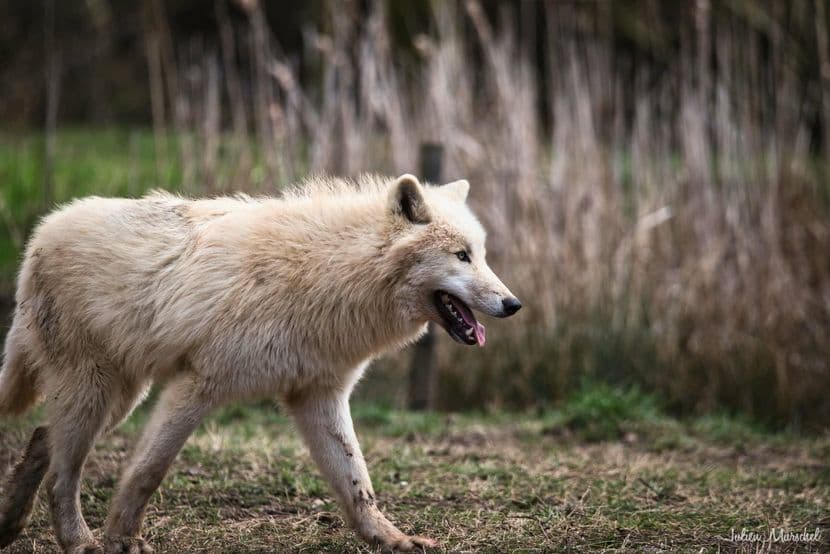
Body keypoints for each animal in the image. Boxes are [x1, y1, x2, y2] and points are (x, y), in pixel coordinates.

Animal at [0, 174, 520, 553]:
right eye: (461, 255)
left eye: (482, 256)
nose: (513, 304)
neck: (328, 275)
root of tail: (42, 232)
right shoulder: (197, 386)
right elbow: (147, 471)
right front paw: (121, 540)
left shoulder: (319, 396)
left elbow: (358, 483)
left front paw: (391, 539)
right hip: (97, 394)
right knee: (62, 475)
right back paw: (79, 542)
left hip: (118, 400)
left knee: (43, 438)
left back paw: (10, 522)